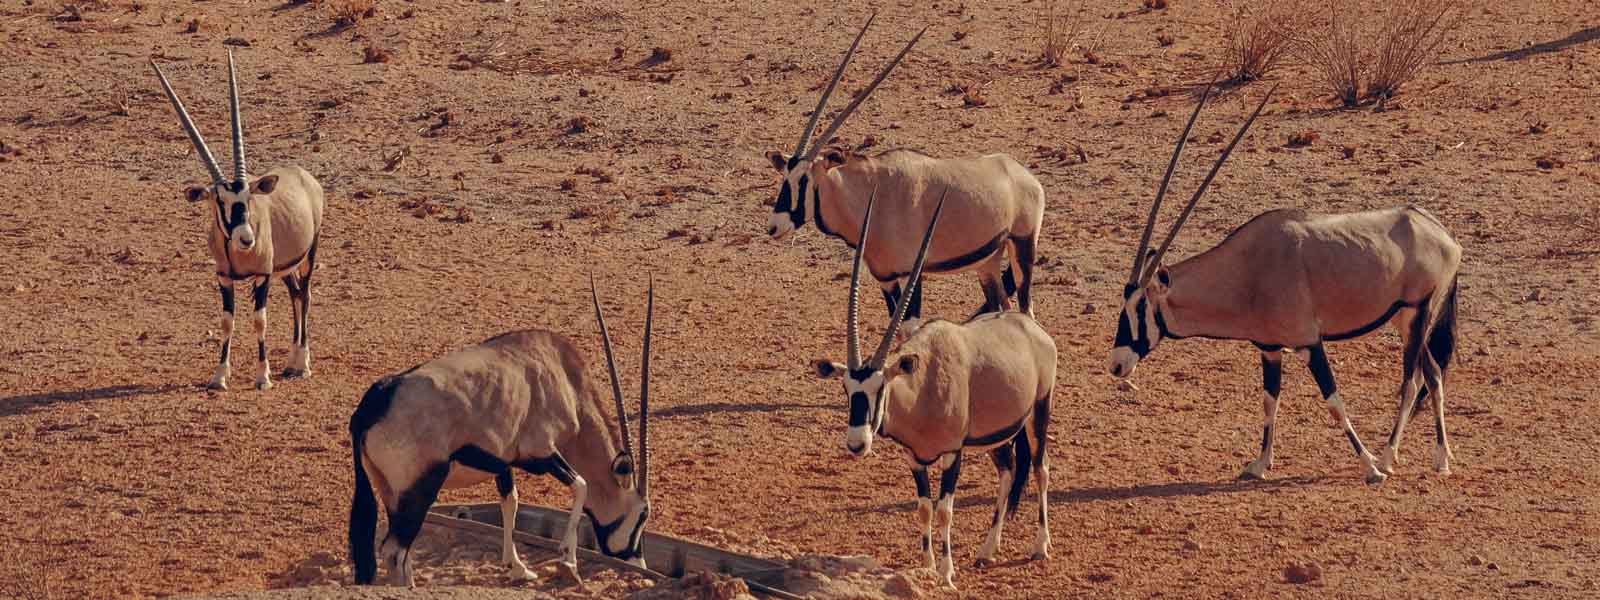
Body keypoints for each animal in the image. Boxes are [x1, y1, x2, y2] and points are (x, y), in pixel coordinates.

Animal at [150, 50, 324, 390]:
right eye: (220, 201)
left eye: (248, 198)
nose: (246, 239)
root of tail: (305, 176)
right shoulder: (224, 277)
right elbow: (227, 322)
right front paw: (219, 376)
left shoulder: (262, 275)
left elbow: (259, 321)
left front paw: (262, 377)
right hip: (285, 268)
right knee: (295, 293)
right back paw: (291, 363)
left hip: (308, 256)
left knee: (306, 295)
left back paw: (303, 363)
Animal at [350, 276, 656, 588]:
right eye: (643, 513)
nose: (639, 562)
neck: (567, 384)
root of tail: (376, 401)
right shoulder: (541, 453)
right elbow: (581, 486)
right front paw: (568, 559)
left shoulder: (504, 461)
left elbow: (511, 502)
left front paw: (517, 567)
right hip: (418, 490)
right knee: (395, 552)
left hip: (393, 495)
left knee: (401, 553)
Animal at [764, 12, 1049, 324]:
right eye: (784, 177)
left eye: (804, 180)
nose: (774, 227)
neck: (872, 194)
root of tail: (1023, 174)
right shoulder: (885, 278)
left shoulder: (912, 274)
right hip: (988, 261)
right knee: (1001, 305)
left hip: (1022, 246)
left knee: (1026, 307)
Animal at [819, 188, 1056, 592]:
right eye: (847, 388)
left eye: (881, 386)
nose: (856, 444)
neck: (921, 387)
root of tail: (1031, 327)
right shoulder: (916, 457)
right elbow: (924, 509)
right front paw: (927, 567)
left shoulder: (951, 453)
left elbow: (945, 511)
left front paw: (945, 572)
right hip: (995, 435)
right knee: (1009, 470)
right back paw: (987, 550)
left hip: (1039, 411)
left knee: (1040, 468)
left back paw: (1040, 546)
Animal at [1113, 85, 1465, 489]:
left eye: (1140, 308)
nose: (1116, 365)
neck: (1248, 271)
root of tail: (1441, 233)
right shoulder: (1269, 349)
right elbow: (1270, 402)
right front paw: (1259, 464)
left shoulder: (1310, 342)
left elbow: (1334, 402)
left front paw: (1370, 468)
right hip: (1406, 320)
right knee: (1433, 373)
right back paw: (1439, 459)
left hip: (1419, 312)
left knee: (1411, 379)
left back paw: (1390, 458)